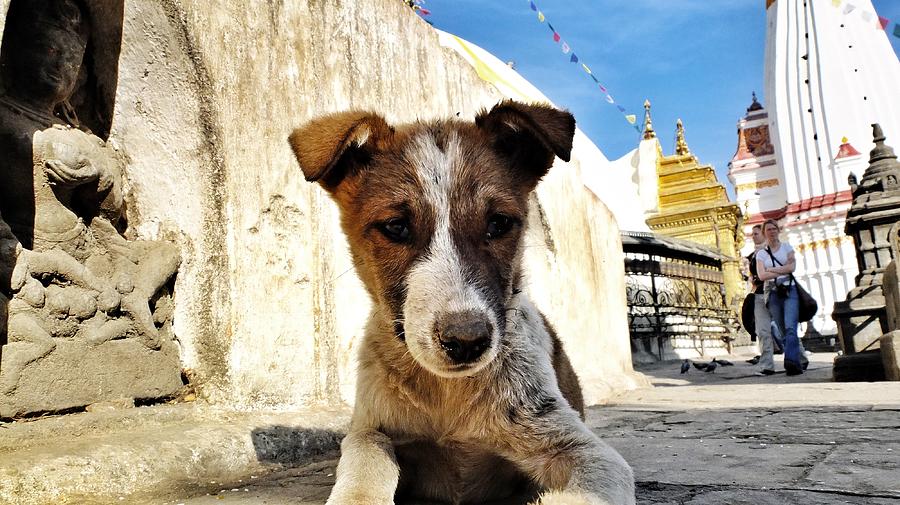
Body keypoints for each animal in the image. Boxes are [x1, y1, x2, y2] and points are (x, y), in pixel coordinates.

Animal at [288, 99, 632, 504]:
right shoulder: (371, 428)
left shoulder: (585, 451)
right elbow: (366, 461)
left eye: (499, 223)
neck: (446, 392)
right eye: (395, 227)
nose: (466, 341)